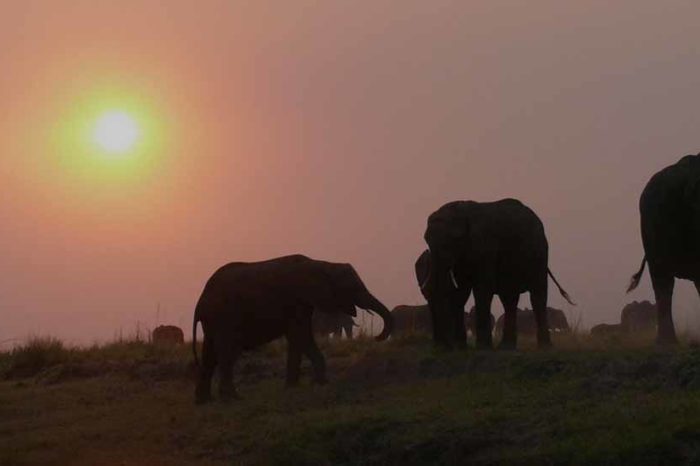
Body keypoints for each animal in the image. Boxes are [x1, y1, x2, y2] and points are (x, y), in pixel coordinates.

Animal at [190, 253, 394, 402]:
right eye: (353, 287)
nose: (376, 337)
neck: (321, 264)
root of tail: (199, 303)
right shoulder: (296, 298)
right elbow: (300, 335)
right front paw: (316, 384)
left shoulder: (303, 303)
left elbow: (299, 337)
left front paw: (299, 386)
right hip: (224, 317)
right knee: (227, 352)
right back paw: (232, 398)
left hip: (215, 321)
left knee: (210, 354)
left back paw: (204, 401)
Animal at [422, 198, 576, 350]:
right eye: (426, 240)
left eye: (451, 241)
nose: (440, 345)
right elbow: (461, 291)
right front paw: (461, 347)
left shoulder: (486, 247)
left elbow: (482, 289)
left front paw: (483, 348)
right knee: (509, 299)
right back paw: (506, 347)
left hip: (539, 254)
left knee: (537, 295)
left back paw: (544, 347)